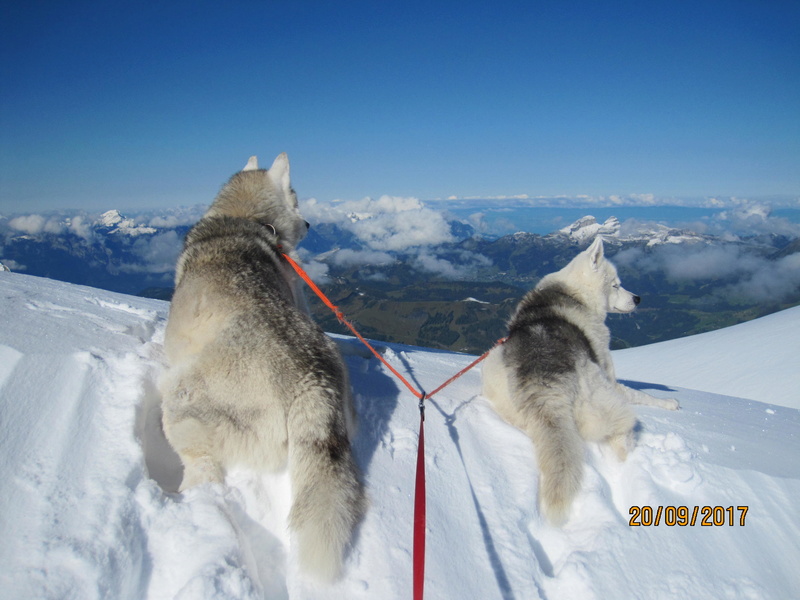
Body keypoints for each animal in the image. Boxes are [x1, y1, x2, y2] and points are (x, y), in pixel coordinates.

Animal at [161, 155, 368, 580]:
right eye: (297, 198)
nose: (310, 225)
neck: (248, 220)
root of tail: (312, 380)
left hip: (179, 397)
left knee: (203, 467)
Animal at [484, 237, 680, 524]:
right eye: (616, 285)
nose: (638, 298)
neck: (575, 295)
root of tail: (543, 378)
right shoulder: (610, 376)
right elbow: (642, 394)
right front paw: (668, 403)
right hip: (603, 397)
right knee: (621, 434)